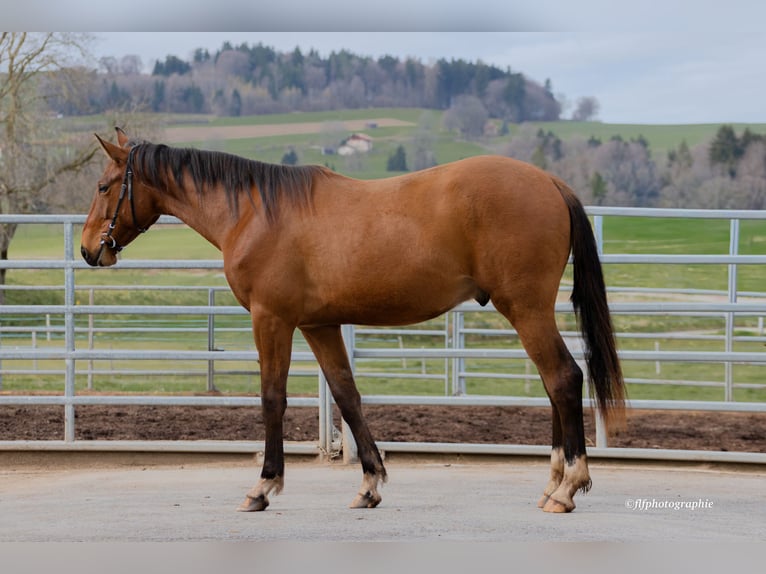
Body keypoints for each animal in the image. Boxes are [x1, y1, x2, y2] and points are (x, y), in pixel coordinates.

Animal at [81, 127, 625, 513]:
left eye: (104, 186)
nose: (88, 250)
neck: (256, 214)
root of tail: (550, 182)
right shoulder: (318, 325)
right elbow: (346, 395)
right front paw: (369, 483)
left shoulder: (272, 320)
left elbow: (272, 398)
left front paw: (264, 485)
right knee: (554, 384)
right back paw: (553, 483)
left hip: (526, 309)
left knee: (563, 378)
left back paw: (568, 488)